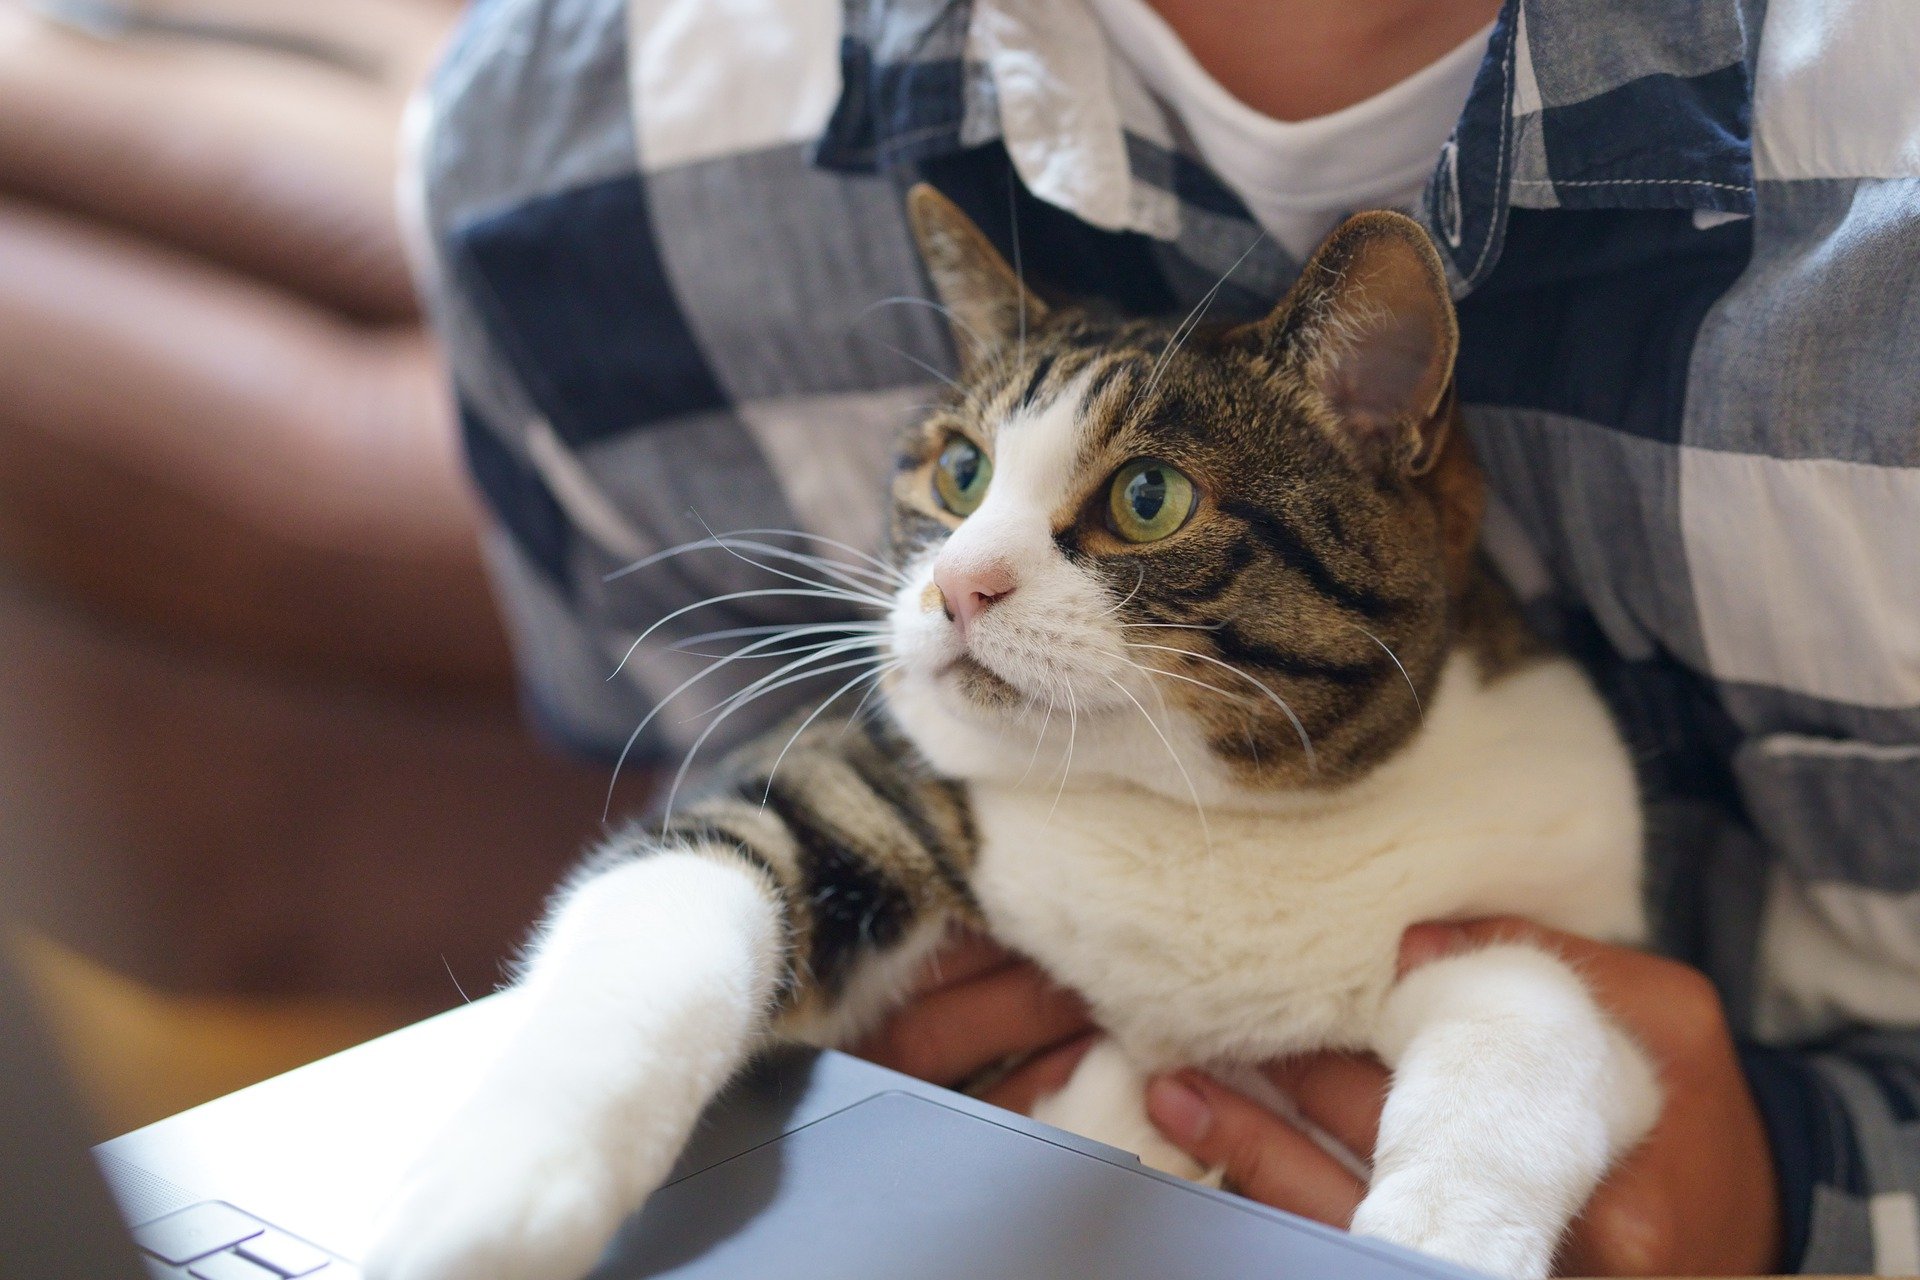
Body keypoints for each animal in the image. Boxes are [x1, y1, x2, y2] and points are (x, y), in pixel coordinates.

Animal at [366, 182, 1658, 1280]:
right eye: (959, 470)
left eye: (1150, 498)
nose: (959, 584)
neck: (1197, 817)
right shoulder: (850, 788)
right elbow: (664, 923)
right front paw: (491, 1196)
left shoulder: (1552, 905)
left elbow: (1538, 1027)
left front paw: (1430, 1234)